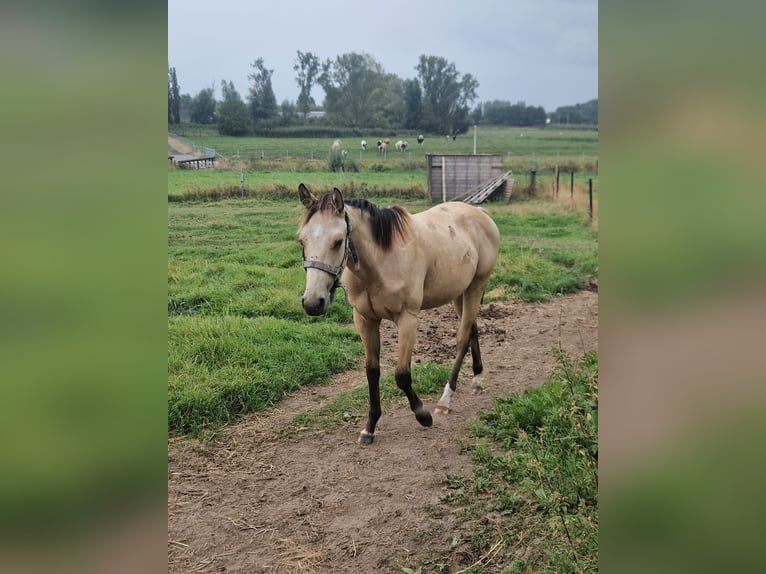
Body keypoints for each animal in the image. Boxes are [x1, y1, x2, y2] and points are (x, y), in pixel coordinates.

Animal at [296, 183, 504, 446]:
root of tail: (481, 213)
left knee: (462, 339)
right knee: (473, 330)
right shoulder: (365, 320)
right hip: (461, 292)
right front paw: (370, 428)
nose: (313, 302)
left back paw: (445, 400)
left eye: (337, 241)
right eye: (301, 241)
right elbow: (372, 371)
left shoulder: (407, 319)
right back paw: (476, 381)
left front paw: (423, 415)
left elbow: (402, 375)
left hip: (476, 286)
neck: (382, 262)